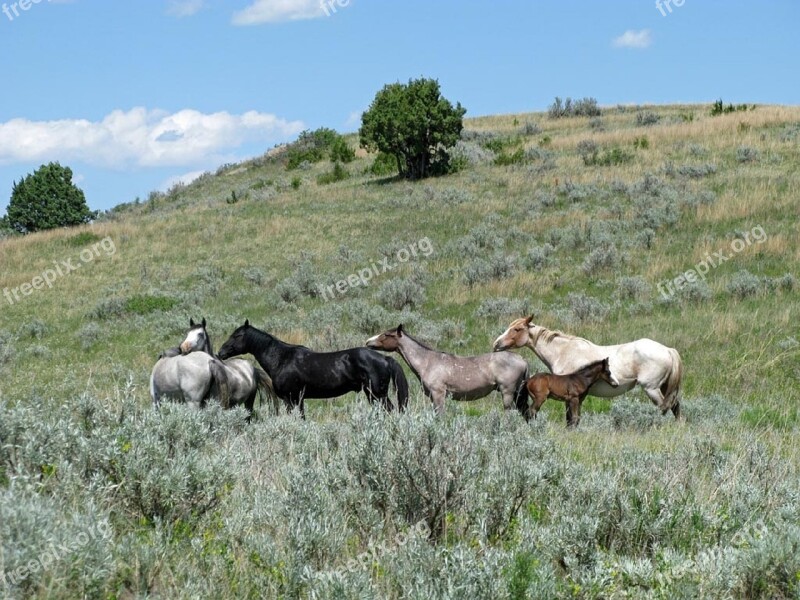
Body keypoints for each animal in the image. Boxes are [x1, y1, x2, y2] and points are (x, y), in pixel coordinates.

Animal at [217, 318, 410, 418]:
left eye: (238, 335)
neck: (282, 358)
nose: (220, 352)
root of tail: (384, 358)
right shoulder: (298, 400)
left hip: (378, 394)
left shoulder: (291, 399)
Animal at [368, 324, 532, 418]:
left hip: (507, 393)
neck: (427, 362)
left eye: (386, 335)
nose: (368, 342)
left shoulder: (438, 394)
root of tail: (522, 359)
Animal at [494, 316, 680, 420]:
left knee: (665, 407)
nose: (496, 344)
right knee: (675, 406)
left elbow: (570, 418)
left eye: (517, 329)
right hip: (663, 387)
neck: (563, 351)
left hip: (651, 389)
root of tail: (668, 350)